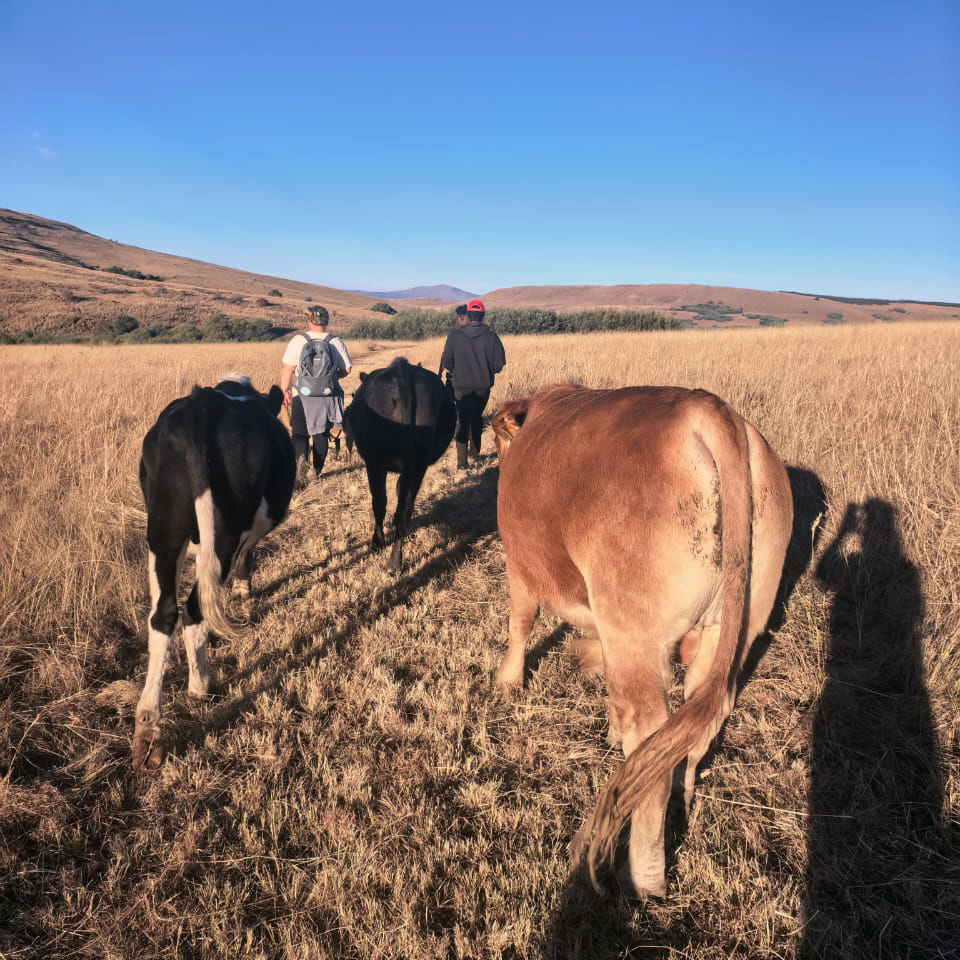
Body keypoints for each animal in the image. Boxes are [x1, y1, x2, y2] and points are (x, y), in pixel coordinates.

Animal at [133, 374, 296, 770]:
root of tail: (201, 403)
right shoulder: (245, 537)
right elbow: (247, 559)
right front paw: (244, 591)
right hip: (225, 530)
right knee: (194, 608)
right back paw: (200, 685)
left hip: (162, 531)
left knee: (163, 613)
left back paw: (148, 728)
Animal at [344, 358, 456, 572]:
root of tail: (403, 372)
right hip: (419, 462)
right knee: (405, 508)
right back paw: (396, 559)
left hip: (376, 462)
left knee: (380, 503)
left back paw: (380, 548)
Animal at [491, 384, 793, 896]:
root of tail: (706, 407)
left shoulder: (521, 565)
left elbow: (520, 622)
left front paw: (508, 681)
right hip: (731, 626)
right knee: (692, 726)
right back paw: (679, 802)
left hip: (637, 626)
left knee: (651, 734)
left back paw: (644, 876)